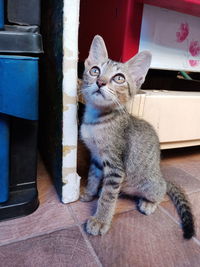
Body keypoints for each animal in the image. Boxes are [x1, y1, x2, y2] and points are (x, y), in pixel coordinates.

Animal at [79, 34, 195, 240]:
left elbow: (108, 196)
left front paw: (100, 220)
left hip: (150, 184)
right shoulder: (96, 158)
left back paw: (149, 203)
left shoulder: (115, 166)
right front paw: (90, 192)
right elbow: (93, 176)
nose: (100, 82)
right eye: (95, 70)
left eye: (119, 78)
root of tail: (161, 176)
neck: (97, 120)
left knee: (160, 191)